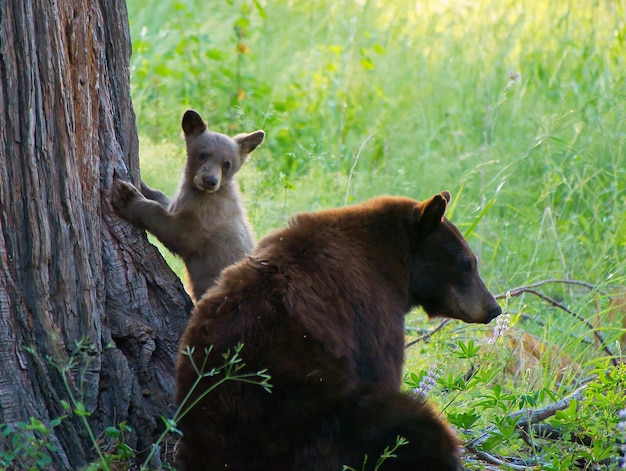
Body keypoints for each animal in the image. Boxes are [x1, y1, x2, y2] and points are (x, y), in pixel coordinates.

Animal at [111, 110, 262, 300]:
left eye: (227, 164)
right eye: (203, 154)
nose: (210, 181)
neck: (199, 193)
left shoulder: (205, 218)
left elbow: (175, 230)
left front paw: (127, 197)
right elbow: (165, 200)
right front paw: (144, 186)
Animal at [174, 193, 498, 471]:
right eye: (468, 263)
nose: (493, 308)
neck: (390, 259)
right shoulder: (373, 311)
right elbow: (383, 367)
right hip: (323, 419)